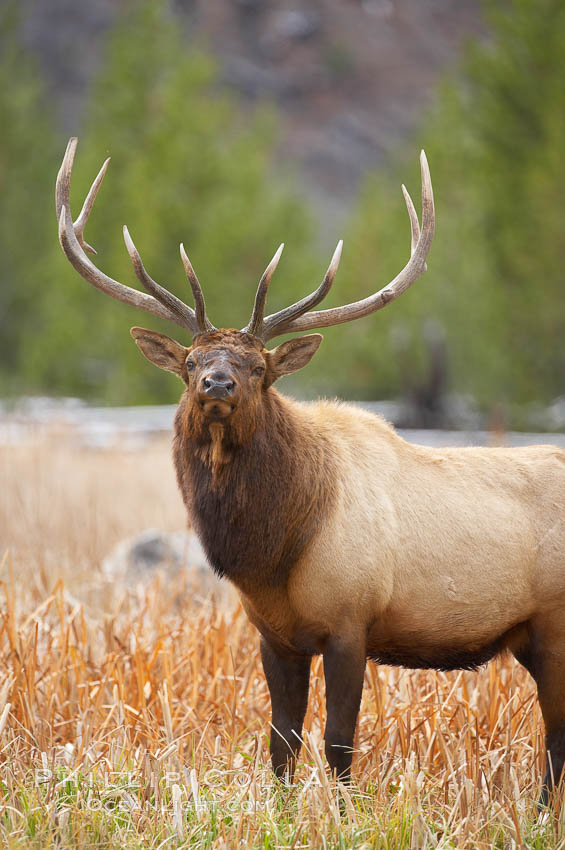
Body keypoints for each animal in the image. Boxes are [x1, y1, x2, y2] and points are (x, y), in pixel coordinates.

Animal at [56, 137, 564, 800]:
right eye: (191, 361)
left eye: (259, 366)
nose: (217, 383)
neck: (277, 550)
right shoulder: (274, 634)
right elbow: (282, 742)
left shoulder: (353, 622)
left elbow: (339, 743)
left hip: (555, 624)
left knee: (557, 736)